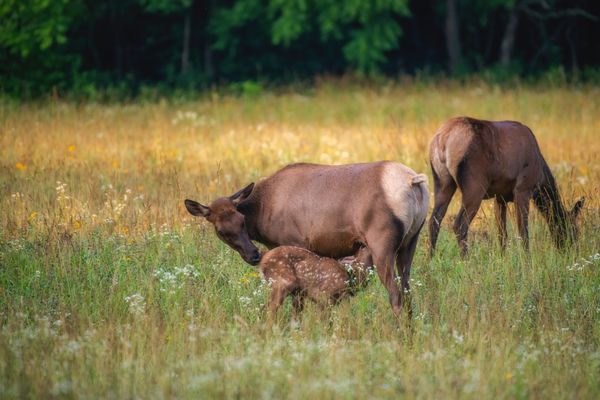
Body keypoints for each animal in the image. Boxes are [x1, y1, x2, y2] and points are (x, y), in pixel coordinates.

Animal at [185, 161, 428, 318]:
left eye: (242, 220)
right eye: (221, 230)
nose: (253, 255)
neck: (263, 213)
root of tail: (414, 181)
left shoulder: (295, 241)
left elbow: (297, 305)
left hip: (381, 242)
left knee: (396, 296)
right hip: (411, 241)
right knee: (408, 293)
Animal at [428, 117, 584, 258]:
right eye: (573, 230)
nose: (572, 252)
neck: (541, 178)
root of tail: (442, 139)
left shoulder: (500, 197)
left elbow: (502, 234)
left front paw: (503, 258)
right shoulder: (523, 189)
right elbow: (523, 232)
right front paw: (526, 260)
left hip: (442, 182)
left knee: (434, 220)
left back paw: (431, 260)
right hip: (474, 185)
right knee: (460, 225)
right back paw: (466, 261)